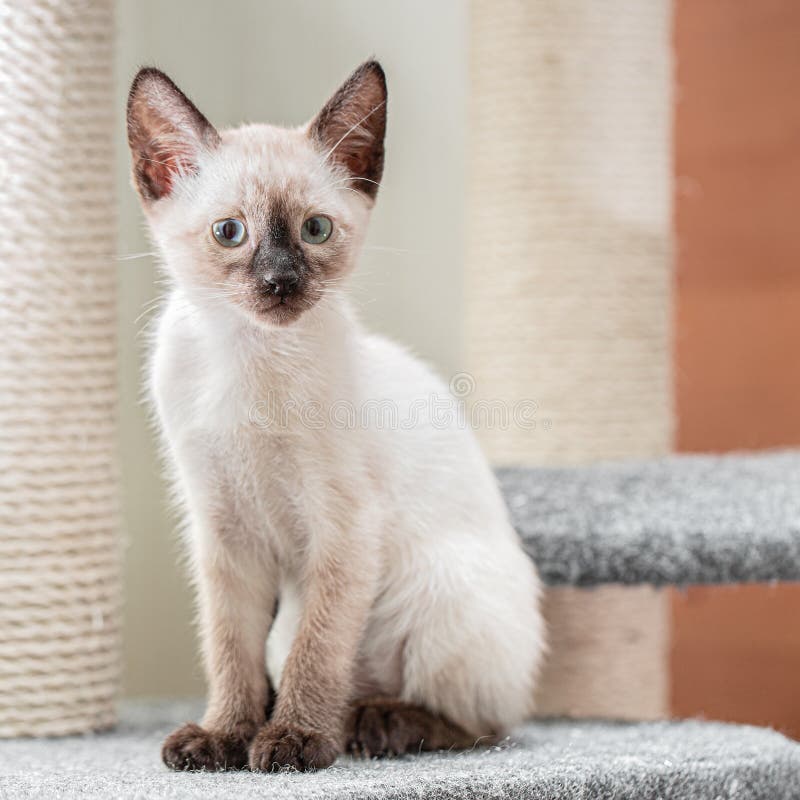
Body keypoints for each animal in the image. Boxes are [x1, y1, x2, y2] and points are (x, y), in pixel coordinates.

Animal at [128, 59, 548, 772]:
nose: (279, 282)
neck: (249, 358)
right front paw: (225, 736)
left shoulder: (345, 530)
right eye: (230, 231)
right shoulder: (223, 530)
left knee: (487, 720)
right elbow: (230, 651)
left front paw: (295, 742)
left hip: (437, 591)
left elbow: (317, 653)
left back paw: (377, 726)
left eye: (315, 230)